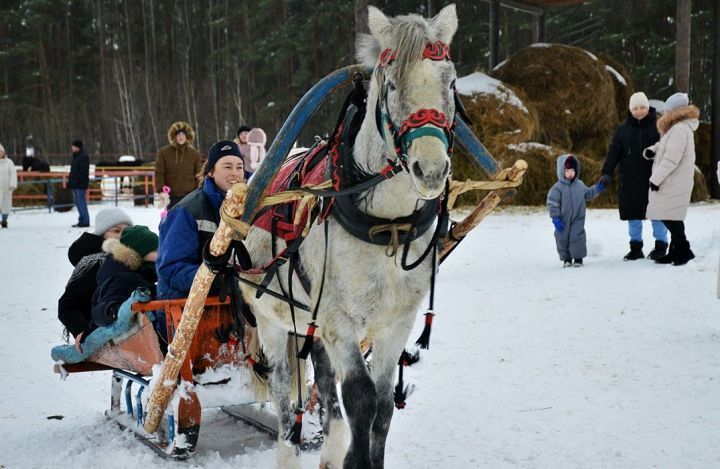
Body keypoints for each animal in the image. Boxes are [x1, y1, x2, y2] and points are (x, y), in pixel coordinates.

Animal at [239, 4, 458, 468]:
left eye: (450, 81)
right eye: (391, 85)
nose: (431, 170)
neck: (386, 228)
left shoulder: (396, 323)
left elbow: (382, 405)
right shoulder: (340, 320)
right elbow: (359, 398)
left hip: (313, 322)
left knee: (324, 389)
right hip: (271, 322)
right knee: (285, 404)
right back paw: (288, 447)